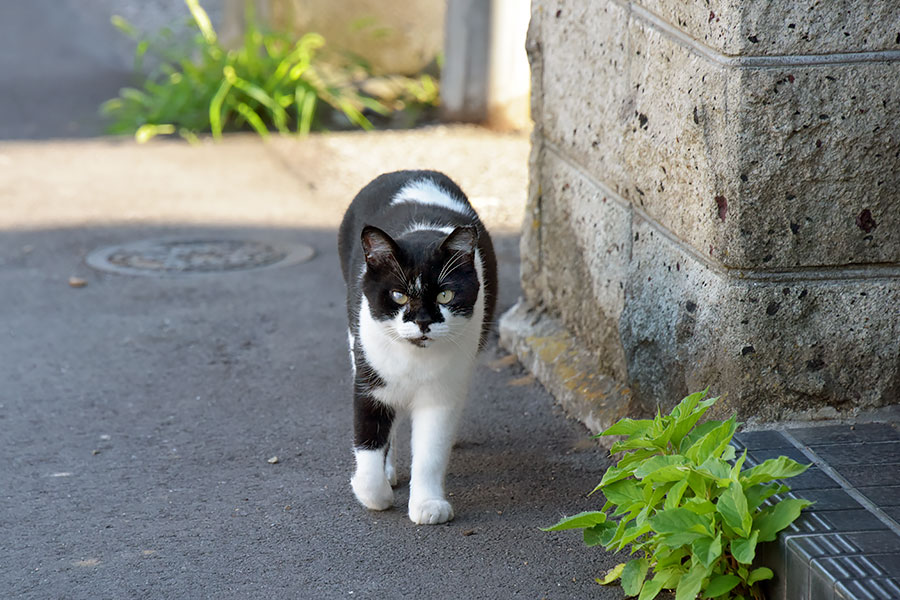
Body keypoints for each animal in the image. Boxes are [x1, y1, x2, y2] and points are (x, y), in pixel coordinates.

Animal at [338, 170, 500, 524]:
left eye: (445, 295)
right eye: (398, 296)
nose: (423, 321)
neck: (414, 357)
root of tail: (410, 172)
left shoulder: (442, 392)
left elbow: (431, 451)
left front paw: (428, 504)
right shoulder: (370, 378)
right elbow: (368, 439)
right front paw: (374, 493)